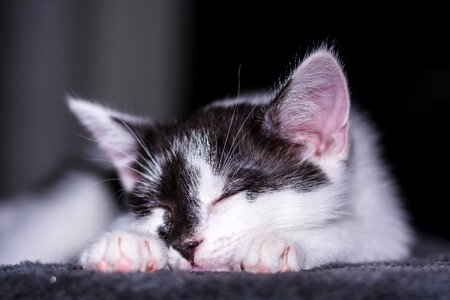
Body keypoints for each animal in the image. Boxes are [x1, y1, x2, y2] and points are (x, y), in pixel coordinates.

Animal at [0, 48, 412, 272]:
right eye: (161, 206)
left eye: (228, 195)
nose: (186, 245)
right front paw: (125, 241)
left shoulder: (384, 220)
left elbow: (356, 234)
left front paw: (276, 243)